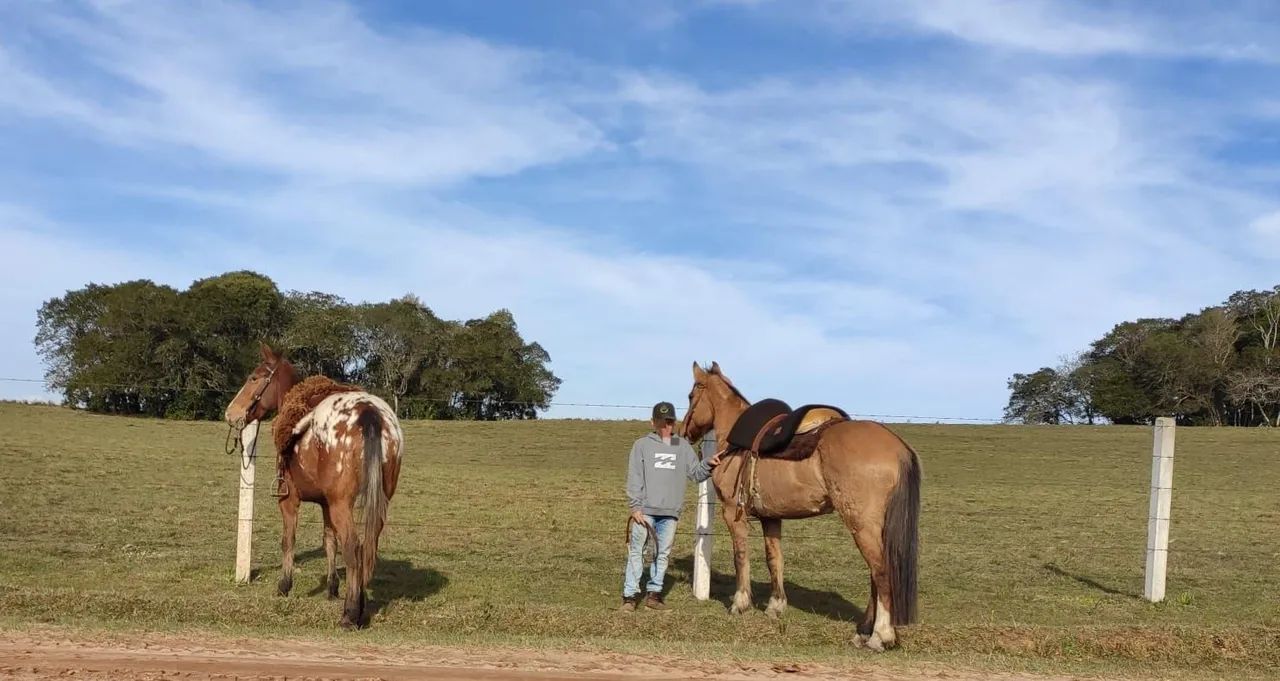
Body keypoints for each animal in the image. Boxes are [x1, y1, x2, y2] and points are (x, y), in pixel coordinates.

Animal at [224, 342, 404, 629]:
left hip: (343, 504)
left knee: (353, 546)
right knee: (368, 546)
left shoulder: (289, 500)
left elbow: (288, 540)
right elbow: (329, 541)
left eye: (253, 377)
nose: (231, 413)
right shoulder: (325, 504)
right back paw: (360, 605)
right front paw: (332, 588)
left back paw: (350, 613)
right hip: (379, 501)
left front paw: (284, 585)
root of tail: (370, 414)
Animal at [680, 362, 920, 651]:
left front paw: (740, 603)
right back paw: (863, 631)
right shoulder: (771, 517)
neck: (735, 444)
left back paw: (879, 635)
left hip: (862, 525)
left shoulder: (732, 513)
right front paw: (775, 606)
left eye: (691, 396)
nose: (684, 432)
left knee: (880, 572)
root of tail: (897, 446)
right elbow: (774, 559)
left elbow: (740, 556)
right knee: (875, 575)